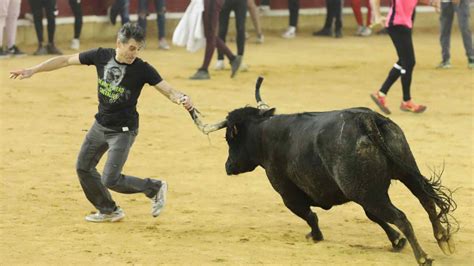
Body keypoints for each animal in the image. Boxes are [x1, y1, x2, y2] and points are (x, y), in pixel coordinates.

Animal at [188, 83, 456, 266]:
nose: (228, 166)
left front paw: (315, 236)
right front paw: (396, 241)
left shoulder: (286, 192)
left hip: (370, 192)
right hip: (404, 174)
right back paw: (443, 238)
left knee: (401, 216)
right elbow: (373, 217)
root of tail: (366, 119)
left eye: (229, 138)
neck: (264, 134)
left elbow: (309, 215)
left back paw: (423, 257)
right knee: (426, 201)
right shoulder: (359, 193)